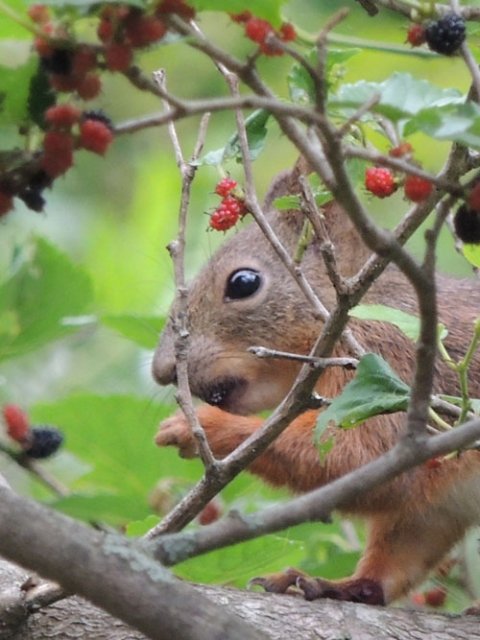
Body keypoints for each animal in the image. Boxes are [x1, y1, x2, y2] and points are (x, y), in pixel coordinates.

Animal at [152, 162, 480, 608]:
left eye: (243, 282)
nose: (163, 369)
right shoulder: (438, 501)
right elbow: (402, 539)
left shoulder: (393, 369)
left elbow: (356, 454)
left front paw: (200, 425)